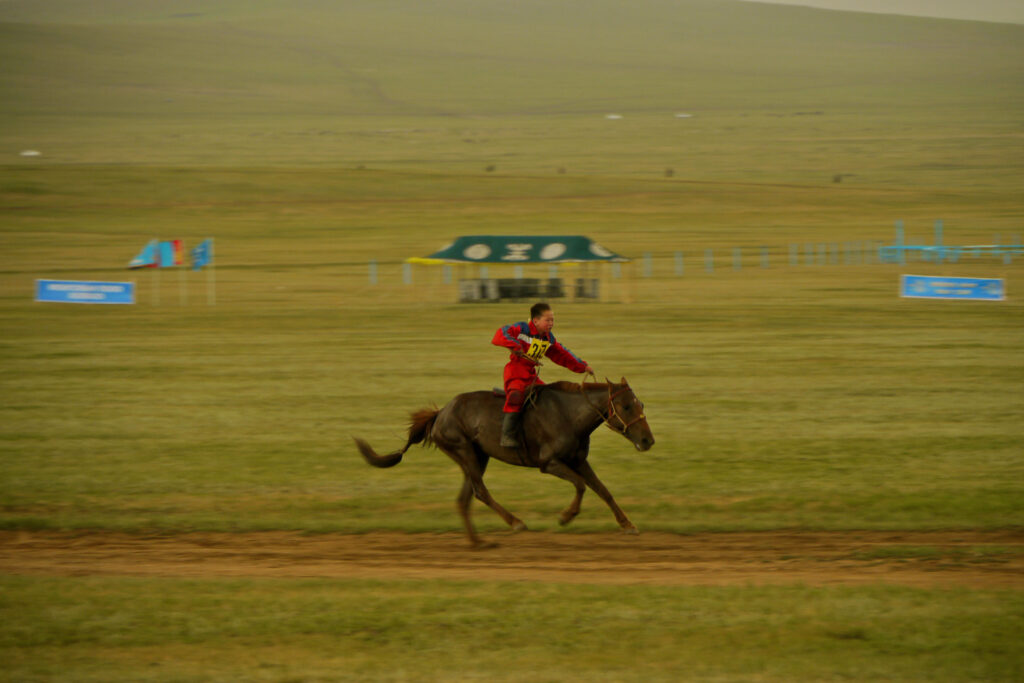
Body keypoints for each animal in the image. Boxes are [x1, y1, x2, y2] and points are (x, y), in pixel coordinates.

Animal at [355, 377, 654, 548]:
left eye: (640, 404)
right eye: (626, 406)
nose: (648, 440)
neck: (570, 415)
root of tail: (440, 413)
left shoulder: (578, 460)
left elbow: (603, 490)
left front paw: (628, 525)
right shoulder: (549, 463)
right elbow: (581, 486)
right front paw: (565, 516)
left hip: (477, 457)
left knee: (465, 498)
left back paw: (478, 542)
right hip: (464, 450)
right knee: (479, 492)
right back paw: (515, 522)